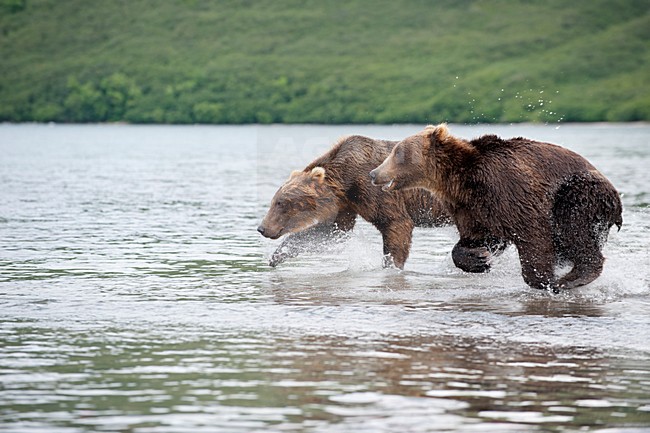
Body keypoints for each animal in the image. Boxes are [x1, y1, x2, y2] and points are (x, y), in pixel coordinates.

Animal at [258, 134, 489, 269]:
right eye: (274, 200)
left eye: (282, 203)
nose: (262, 228)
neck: (346, 180)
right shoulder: (346, 203)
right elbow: (330, 231)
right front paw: (277, 255)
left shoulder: (374, 190)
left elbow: (395, 224)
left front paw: (392, 266)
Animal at [369, 124, 623, 292]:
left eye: (397, 152)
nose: (373, 173)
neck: (458, 180)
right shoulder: (470, 207)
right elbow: (478, 237)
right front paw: (480, 259)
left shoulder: (507, 187)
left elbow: (532, 231)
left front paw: (542, 279)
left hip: (579, 191)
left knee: (573, 225)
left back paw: (572, 278)